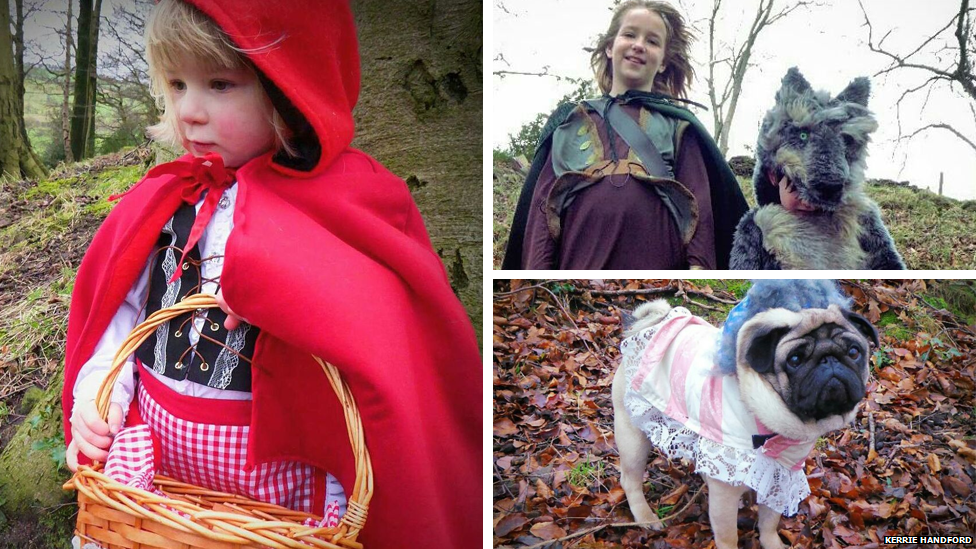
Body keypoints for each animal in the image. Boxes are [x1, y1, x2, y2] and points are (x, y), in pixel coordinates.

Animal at [608, 280, 876, 548]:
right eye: (795, 359)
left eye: (854, 352)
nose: (829, 360)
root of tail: (654, 325)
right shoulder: (725, 494)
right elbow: (728, 535)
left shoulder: (780, 477)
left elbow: (769, 522)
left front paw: (772, 543)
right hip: (632, 436)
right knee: (629, 480)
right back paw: (645, 517)